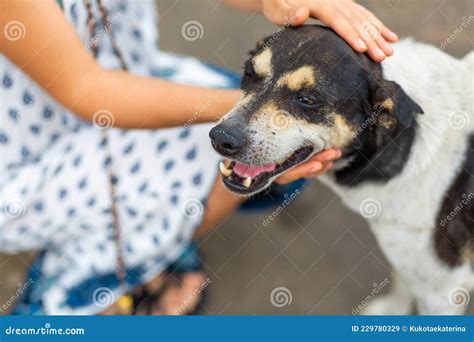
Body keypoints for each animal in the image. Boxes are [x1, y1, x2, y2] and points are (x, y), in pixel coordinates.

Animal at [210, 26, 474, 316]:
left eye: (308, 99)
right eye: (249, 72)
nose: (221, 138)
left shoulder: (441, 289)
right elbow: (402, 281)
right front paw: (393, 309)